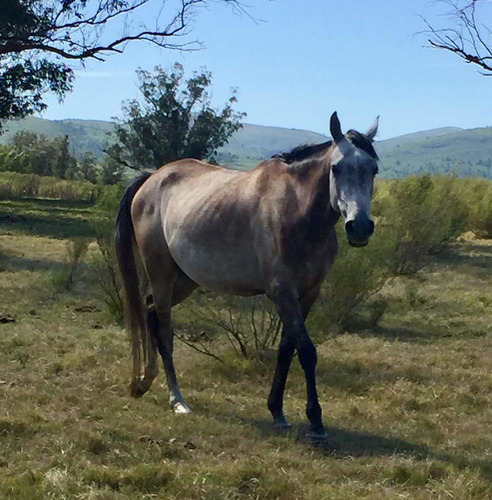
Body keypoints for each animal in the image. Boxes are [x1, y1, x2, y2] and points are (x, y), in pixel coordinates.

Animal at [115, 110, 380, 438]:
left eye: (374, 169)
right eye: (337, 168)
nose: (360, 227)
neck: (297, 212)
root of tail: (152, 178)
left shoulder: (307, 293)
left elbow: (287, 349)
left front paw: (277, 411)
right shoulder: (282, 290)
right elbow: (306, 350)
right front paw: (316, 421)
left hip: (185, 278)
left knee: (150, 311)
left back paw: (145, 381)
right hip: (161, 271)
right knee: (163, 329)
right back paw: (177, 399)